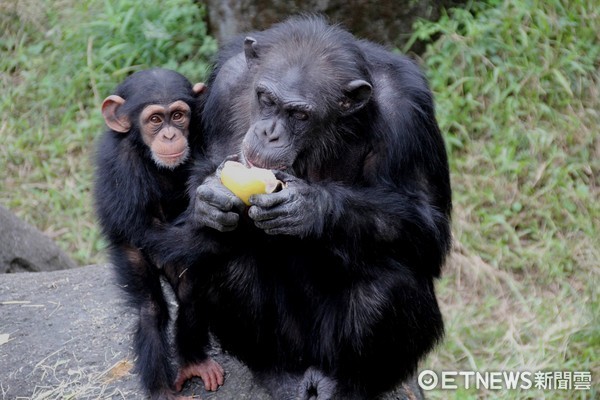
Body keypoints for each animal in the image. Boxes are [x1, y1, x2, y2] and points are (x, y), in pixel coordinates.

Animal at [92, 67, 224, 398]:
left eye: (177, 115)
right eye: (154, 119)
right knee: (150, 310)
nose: (169, 135)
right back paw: (162, 388)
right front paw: (208, 217)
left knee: (190, 293)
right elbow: (143, 227)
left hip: (178, 261)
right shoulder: (122, 165)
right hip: (136, 256)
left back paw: (193, 362)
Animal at [169, 14, 450, 396]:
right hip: (291, 344)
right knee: (226, 258)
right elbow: (203, 170)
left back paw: (346, 384)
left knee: (389, 284)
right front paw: (210, 198)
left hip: (330, 348)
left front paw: (312, 208)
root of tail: (311, 363)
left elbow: (428, 227)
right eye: (265, 98)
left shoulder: (408, 112)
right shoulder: (224, 86)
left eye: (299, 115)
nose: (269, 133)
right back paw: (278, 373)